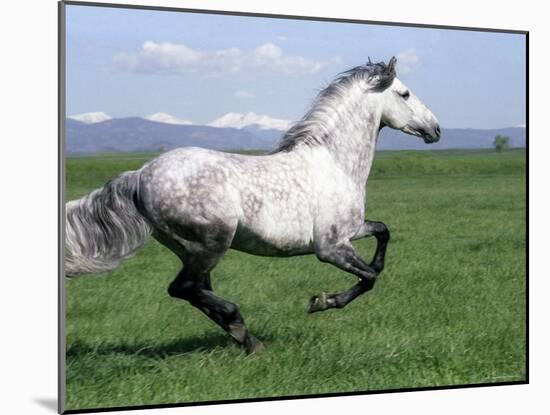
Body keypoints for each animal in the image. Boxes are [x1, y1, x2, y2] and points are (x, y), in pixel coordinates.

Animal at [66, 57, 444, 354]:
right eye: (405, 94)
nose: (436, 129)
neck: (334, 163)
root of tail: (141, 174)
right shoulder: (331, 247)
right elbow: (368, 278)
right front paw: (320, 302)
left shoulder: (351, 231)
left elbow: (383, 234)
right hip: (210, 244)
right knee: (184, 288)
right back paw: (241, 327)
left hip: (190, 249)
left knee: (197, 290)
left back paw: (244, 338)